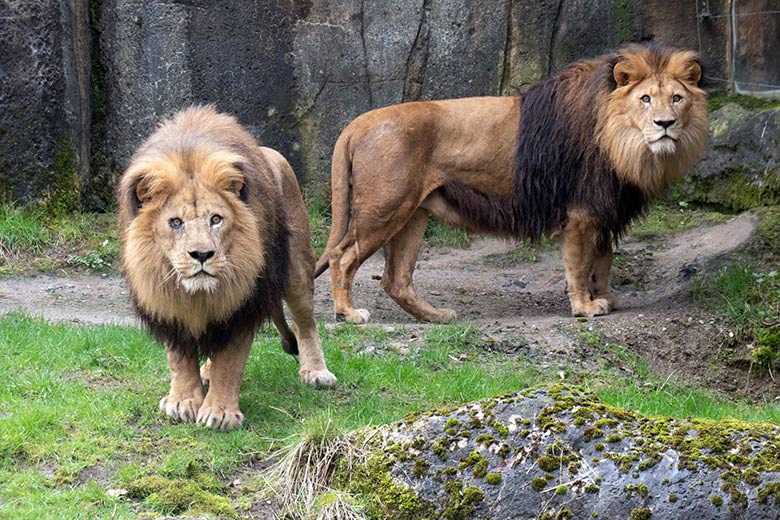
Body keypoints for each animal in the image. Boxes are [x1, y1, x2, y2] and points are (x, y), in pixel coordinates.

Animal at [118, 104, 336, 430]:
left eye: (216, 219)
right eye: (175, 222)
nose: (201, 254)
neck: (197, 294)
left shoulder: (245, 303)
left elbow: (230, 361)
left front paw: (219, 412)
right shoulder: (167, 300)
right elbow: (179, 359)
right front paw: (183, 401)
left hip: (297, 268)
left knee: (305, 322)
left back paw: (316, 372)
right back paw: (205, 374)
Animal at [314, 42, 708, 322]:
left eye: (677, 98)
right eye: (645, 99)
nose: (665, 124)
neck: (623, 142)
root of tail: (358, 122)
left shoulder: (603, 208)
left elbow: (603, 257)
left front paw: (604, 296)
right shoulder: (582, 210)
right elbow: (580, 264)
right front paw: (585, 307)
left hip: (412, 214)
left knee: (395, 279)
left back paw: (437, 317)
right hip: (385, 207)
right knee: (341, 257)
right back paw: (348, 314)